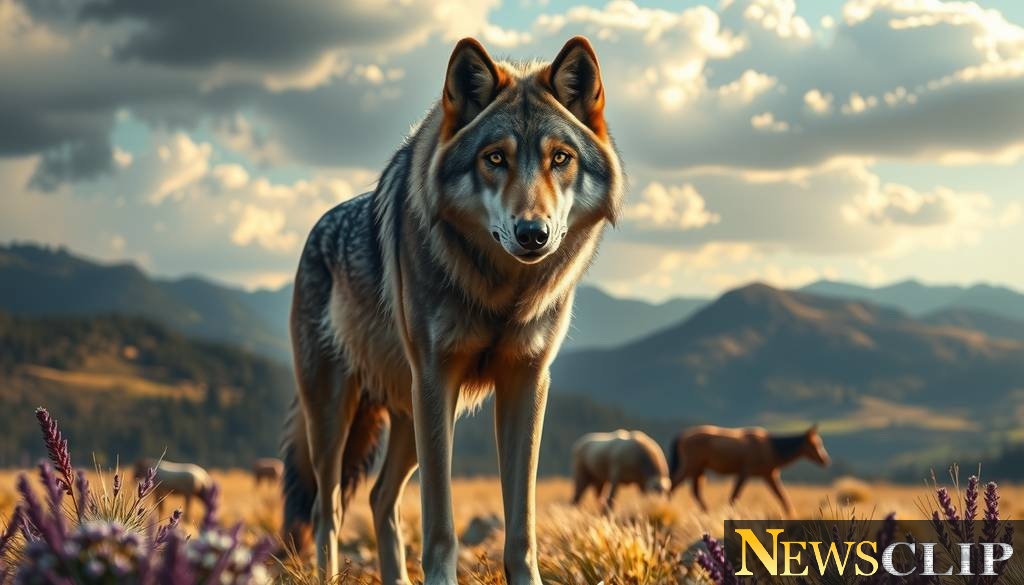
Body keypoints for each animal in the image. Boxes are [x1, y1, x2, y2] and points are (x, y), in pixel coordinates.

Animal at [281, 36, 624, 584]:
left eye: (561, 158)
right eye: (495, 158)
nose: (533, 234)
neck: (504, 294)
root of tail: (317, 228)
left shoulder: (527, 381)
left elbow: (522, 526)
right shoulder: (436, 377)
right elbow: (440, 523)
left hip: (406, 417)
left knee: (380, 497)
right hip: (338, 413)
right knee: (326, 507)